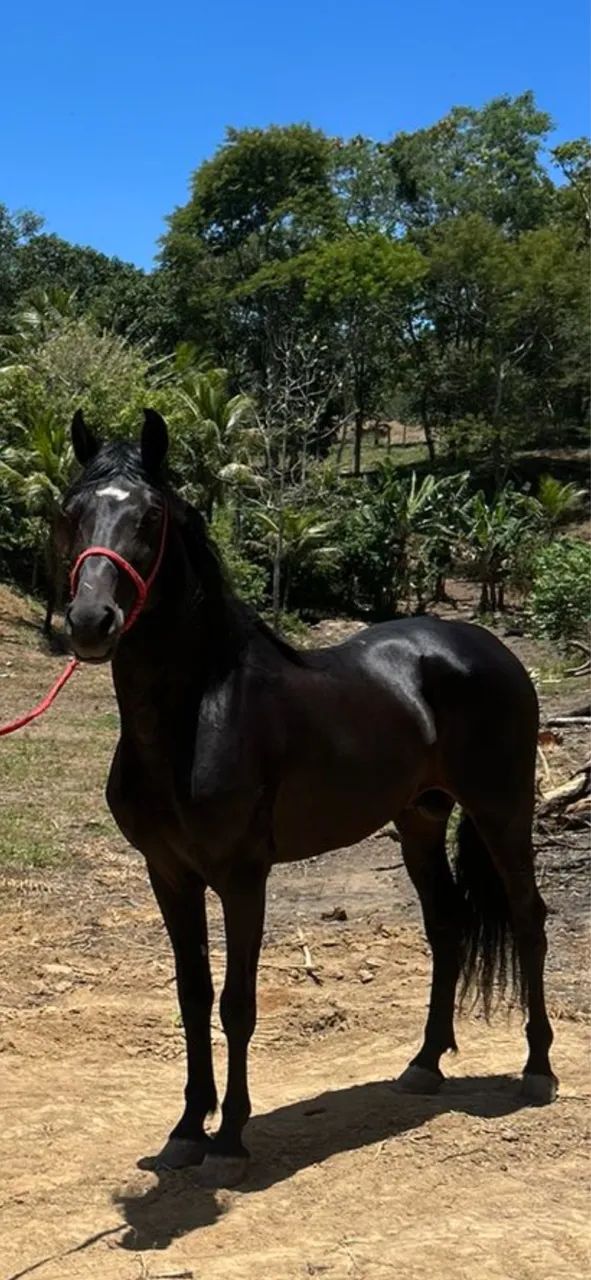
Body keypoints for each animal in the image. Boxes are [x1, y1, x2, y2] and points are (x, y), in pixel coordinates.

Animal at [58, 407, 556, 1186]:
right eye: (71, 511)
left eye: (149, 516)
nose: (90, 622)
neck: (197, 715)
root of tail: (489, 648)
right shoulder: (167, 875)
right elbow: (192, 996)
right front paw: (185, 1130)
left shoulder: (242, 877)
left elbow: (236, 1004)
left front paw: (230, 1138)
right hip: (419, 819)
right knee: (446, 925)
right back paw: (423, 1064)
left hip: (501, 810)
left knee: (529, 918)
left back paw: (537, 1068)